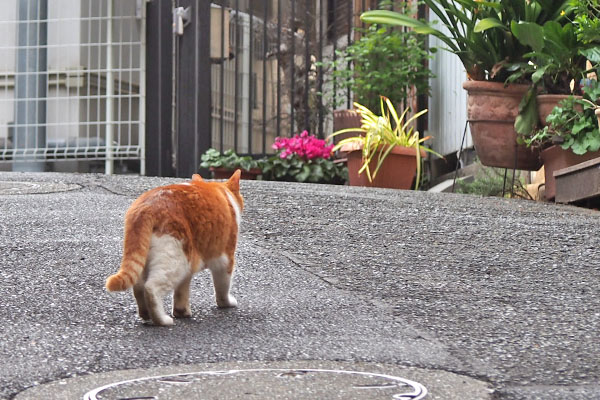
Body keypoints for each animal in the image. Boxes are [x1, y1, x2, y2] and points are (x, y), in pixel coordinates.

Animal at [106, 170, 244, 326]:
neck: (223, 193)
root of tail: (145, 206)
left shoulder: (189, 268)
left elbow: (181, 292)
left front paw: (182, 312)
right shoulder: (224, 258)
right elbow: (222, 287)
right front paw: (226, 303)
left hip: (159, 259)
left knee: (138, 287)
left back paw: (146, 315)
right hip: (176, 261)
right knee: (151, 288)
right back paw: (162, 320)